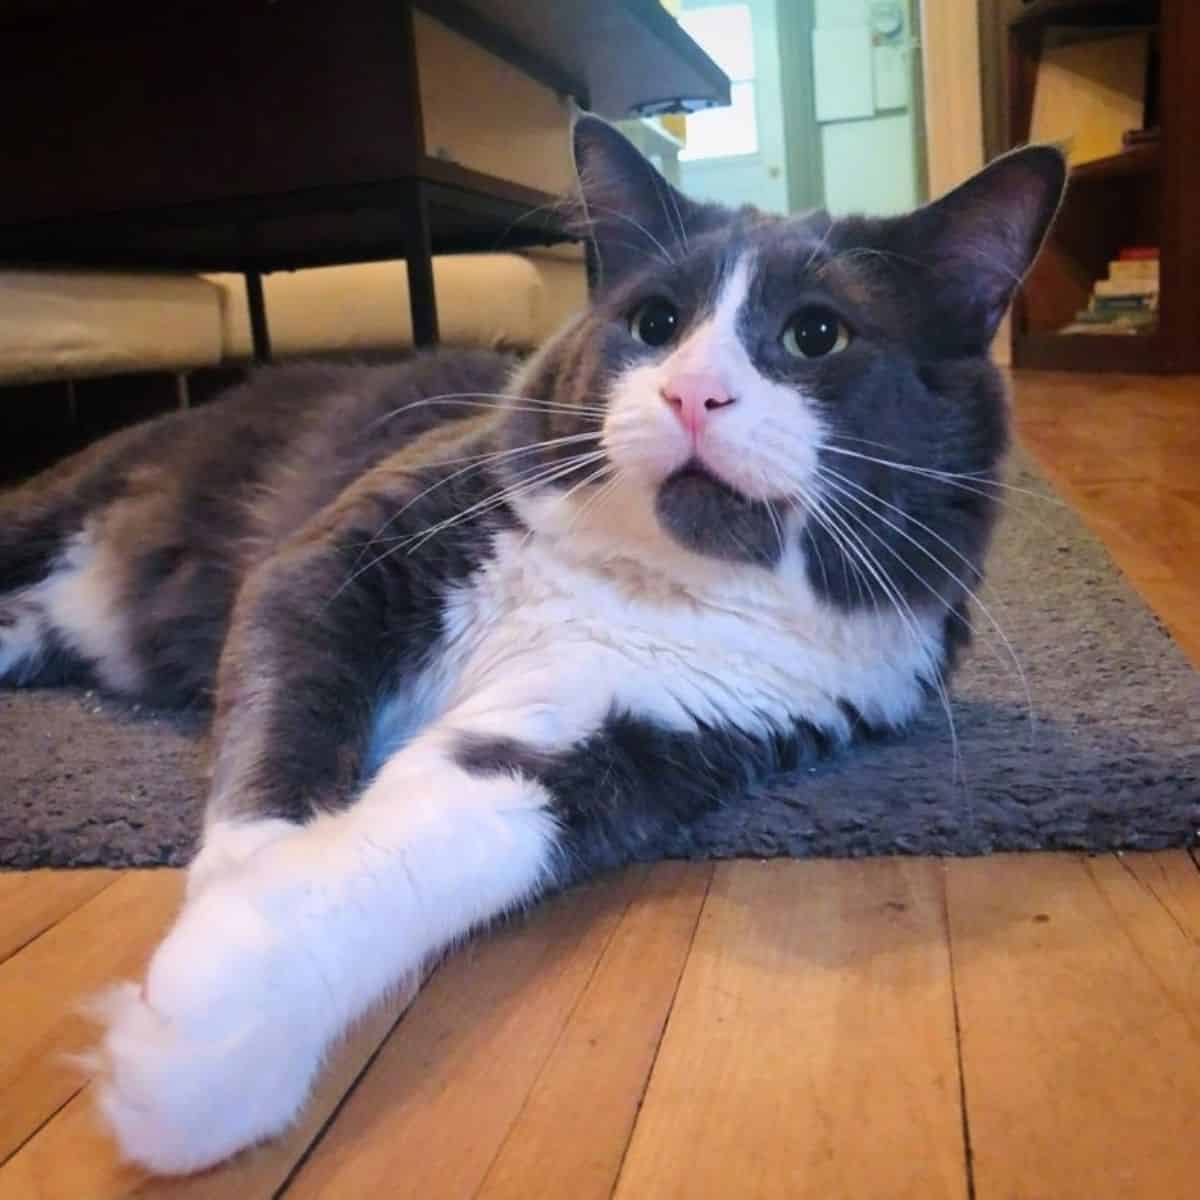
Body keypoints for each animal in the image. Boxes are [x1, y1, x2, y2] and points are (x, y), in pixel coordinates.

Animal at [2, 114, 1070, 1171]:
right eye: (655, 325)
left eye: (817, 335)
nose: (692, 394)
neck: (642, 577)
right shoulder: (342, 558)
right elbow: (285, 738)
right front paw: (234, 895)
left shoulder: (630, 734)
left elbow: (442, 836)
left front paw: (219, 1031)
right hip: (70, 500)